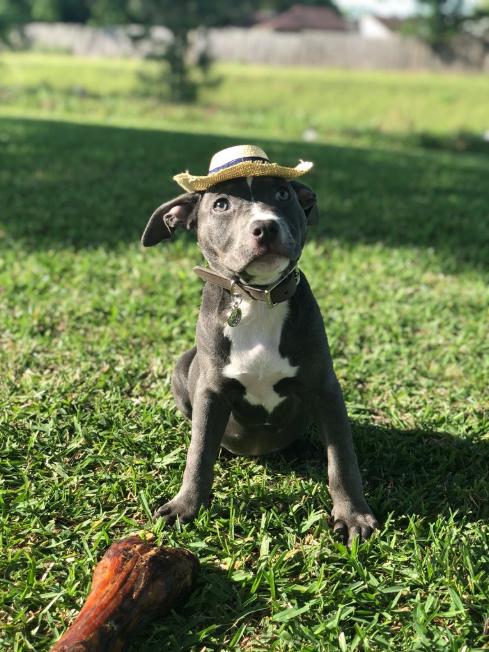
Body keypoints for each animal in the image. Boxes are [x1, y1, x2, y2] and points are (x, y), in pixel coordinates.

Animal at [141, 145, 378, 544]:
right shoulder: (211, 391)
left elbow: (342, 458)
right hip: (182, 367)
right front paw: (184, 507)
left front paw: (353, 515)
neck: (258, 299)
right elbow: (198, 454)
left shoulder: (324, 388)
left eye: (282, 194)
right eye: (221, 204)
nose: (265, 226)